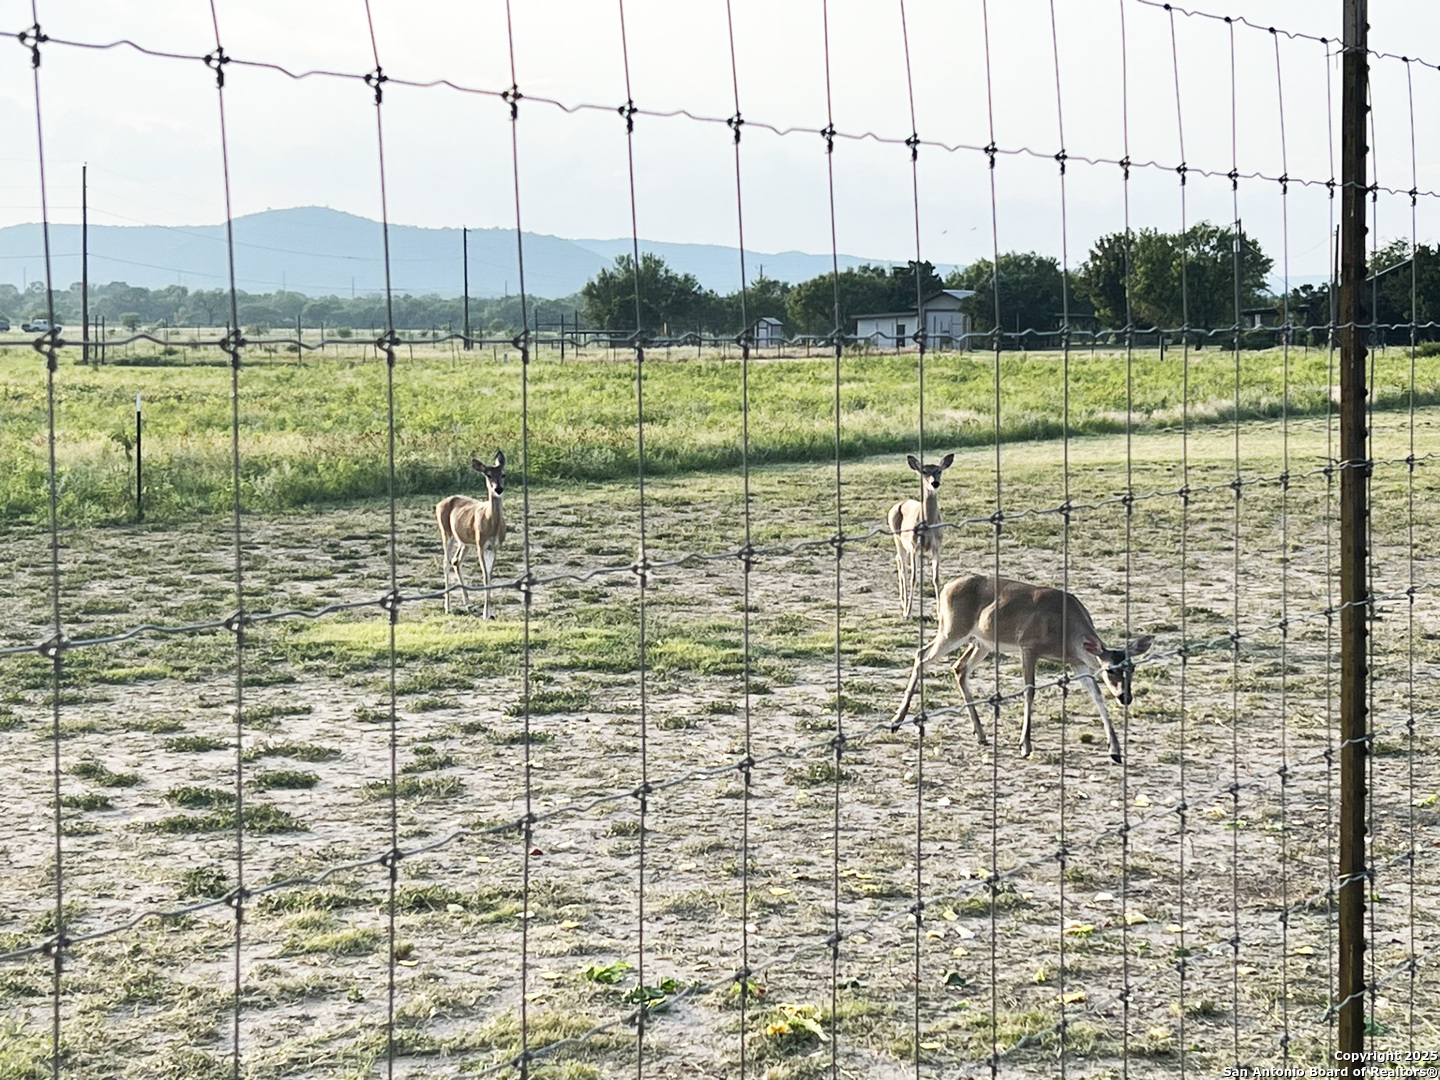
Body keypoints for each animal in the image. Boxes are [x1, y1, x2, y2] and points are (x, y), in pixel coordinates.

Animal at [435, 451, 507, 618]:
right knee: (446, 562)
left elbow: (490, 576)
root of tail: (439, 504)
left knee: (456, 561)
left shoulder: (494, 546)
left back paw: (469, 604)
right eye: (488, 475)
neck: (491, 523)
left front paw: (490, 613)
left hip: (465, 541)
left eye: (503, 474)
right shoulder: (481, 544)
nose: (498, 489)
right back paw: (448, 607)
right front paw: (486, 614)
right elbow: (485, 576)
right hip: (446, 532)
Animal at [887, 452, 955, 618]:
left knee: (898, 560)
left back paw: (902, 602)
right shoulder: (914, 546)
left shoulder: (937, 546)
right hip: (897, 538)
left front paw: (939, 612)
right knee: (902, 567)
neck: (928, 524)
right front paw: (908, 612)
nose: (935, 483)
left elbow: (936, 578)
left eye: (939, 470)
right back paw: (904, 606)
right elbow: (914, 579)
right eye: (924, 471)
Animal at [890, 574, 1153, 763]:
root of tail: (946, 588)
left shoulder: (1076, 661)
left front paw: (1115, 751)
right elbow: (1030, 690)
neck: (1065, 632)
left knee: (959, 667)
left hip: (982, 642)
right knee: (921, 655)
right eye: (1110, 669)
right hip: (952, 629)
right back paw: (896, 720)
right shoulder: (1028, 646)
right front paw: (1025, 745)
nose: (1126, 697)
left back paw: (981, 734)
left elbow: (1097, 696)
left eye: (1132, 669)